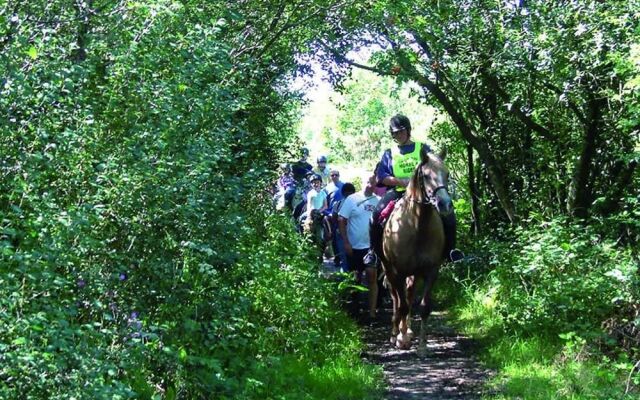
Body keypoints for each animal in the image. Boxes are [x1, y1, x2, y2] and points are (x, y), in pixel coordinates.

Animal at [380, 148, 450, 354]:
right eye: (426, 175)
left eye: (447, 174)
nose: (445, 204)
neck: (417, 225)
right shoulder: (398, 271)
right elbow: (402, 305)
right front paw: (401, 339)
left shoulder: (431, 271)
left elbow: (423, 307)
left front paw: (422, 347)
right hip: (389, 270)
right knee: (397, 299)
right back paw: (396, 333)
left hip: (413, 274)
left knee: (409, 296)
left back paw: (408, 331)